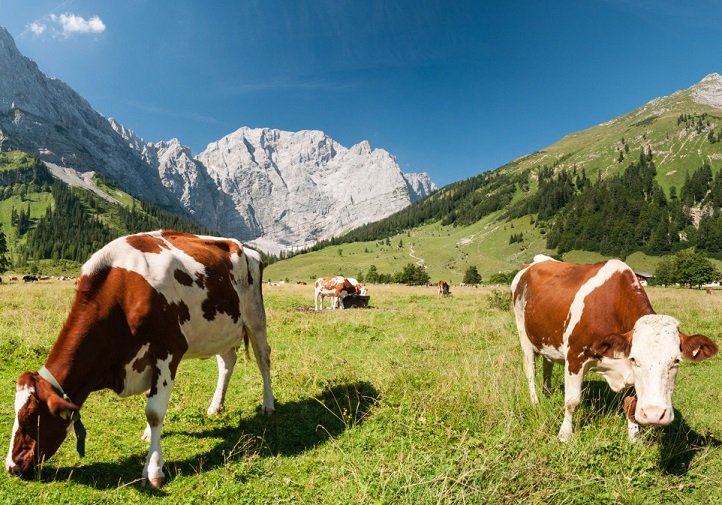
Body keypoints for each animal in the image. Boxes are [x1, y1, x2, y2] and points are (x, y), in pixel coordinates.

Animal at [4, 230, 276, 486]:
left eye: (29, 418)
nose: (10, 466)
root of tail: (246, 249)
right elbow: (150, 403)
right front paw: (147, 435)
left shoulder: (168, 350)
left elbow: (154, 411)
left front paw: (153, 470)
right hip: (220, 329)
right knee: (226, 362)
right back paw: (215, 406)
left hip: (255, 318)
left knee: (264, 359)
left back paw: (268, 404)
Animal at [510, 254, 716, 440]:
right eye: (635, 359)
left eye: (676, 361)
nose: (654, 414)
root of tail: (537, 260)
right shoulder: (575, 357)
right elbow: (572, 401)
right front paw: (564, 435)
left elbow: (631, 406)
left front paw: (634, 440)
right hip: (524, 334)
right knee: (530, 370)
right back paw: (536, 401)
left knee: (547, 364)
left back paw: (547, 394)